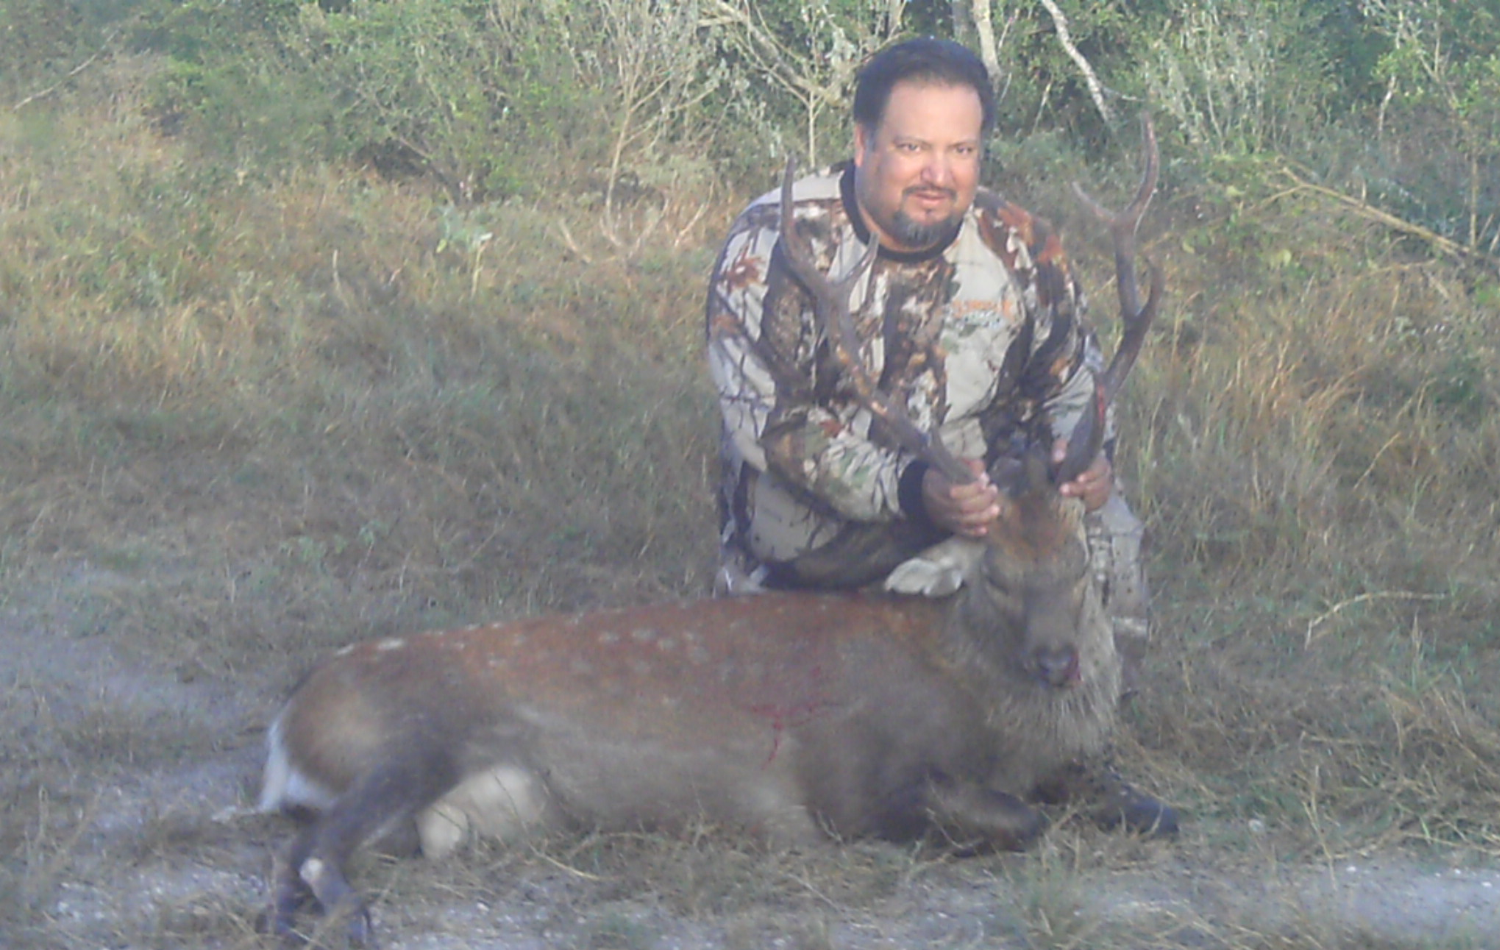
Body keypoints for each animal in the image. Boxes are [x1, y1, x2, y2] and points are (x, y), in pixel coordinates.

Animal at [258, 118, 1170, 942]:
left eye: (1078, 569)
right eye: (995, 575)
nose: (1058, 662)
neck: (987, 721)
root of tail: (286, 727)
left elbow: (1143, 811)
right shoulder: (858, 783)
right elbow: (1022, 820)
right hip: (406, 745)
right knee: (306, 848)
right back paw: (341, 918)